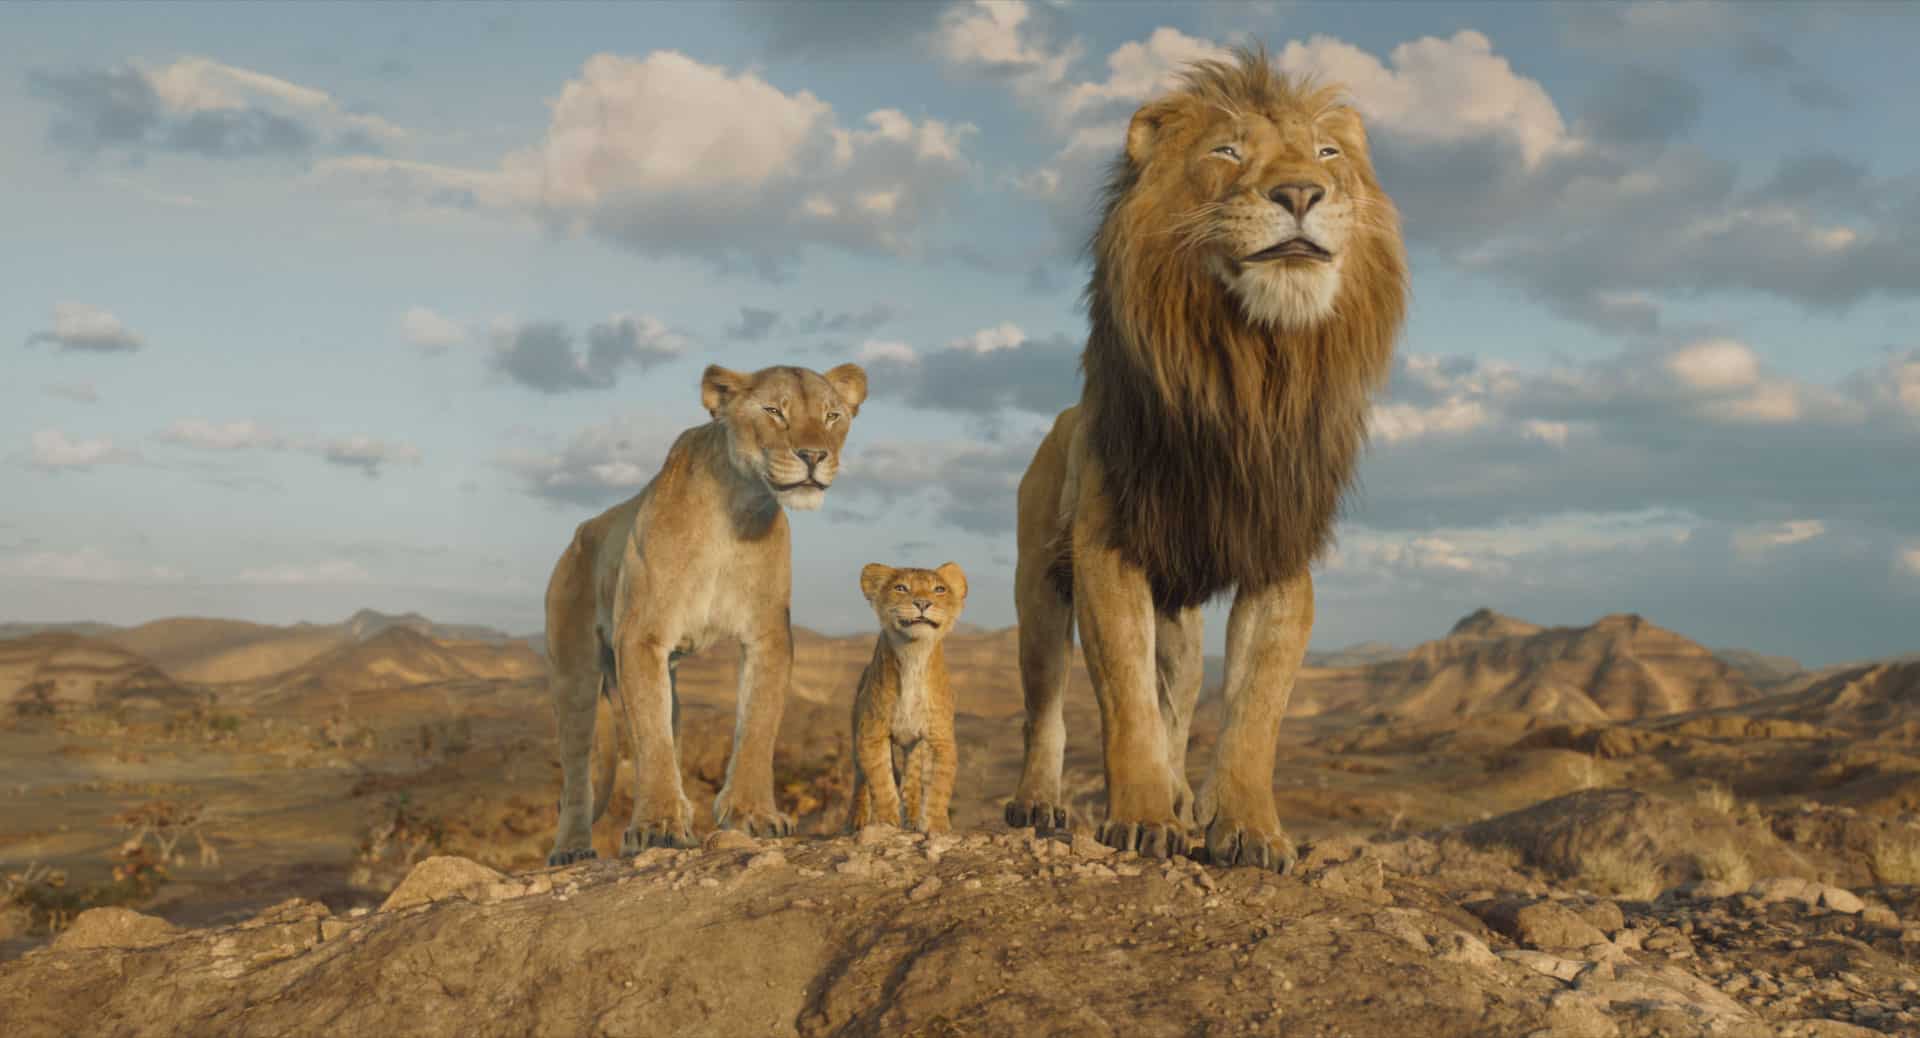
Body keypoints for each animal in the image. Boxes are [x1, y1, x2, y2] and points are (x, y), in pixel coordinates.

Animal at [544, 362, 868, 865]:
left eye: (832, 415)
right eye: (774, 411)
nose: (814, 455)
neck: (737, 508)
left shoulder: (768, 634)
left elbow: (757, 724)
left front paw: (753, 813)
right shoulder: (642, 635)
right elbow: (651, 739)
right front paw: (658, 825)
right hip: (574, 673)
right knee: (578, 769)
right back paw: (572, 849)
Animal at [846, 561, 968, 834]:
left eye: (939, 589)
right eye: (901, 588)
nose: (922, 603)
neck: (913, 653)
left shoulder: (939, 737)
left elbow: (938, 787)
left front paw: (936, 827)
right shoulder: (871, 733)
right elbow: (881, 782)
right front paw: (886, 822)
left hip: (915, 745)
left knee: (912, 781)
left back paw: (912, 817)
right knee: (860, 778)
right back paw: (855, 821)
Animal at [1003, 46, 1408, 871]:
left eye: (1328, 155)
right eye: (1226, 152)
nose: (1301, 192)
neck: (1250, 369)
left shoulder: (1278, 553)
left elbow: (1255, 711)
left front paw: (1249, 829)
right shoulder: (1107, 549)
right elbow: (1124, 702)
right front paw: (1141, 817)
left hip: (1180, 623)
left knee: (1180, 701)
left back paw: (1184, 795)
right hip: (1038, 589)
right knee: (1046, 705)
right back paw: (1039, 803)